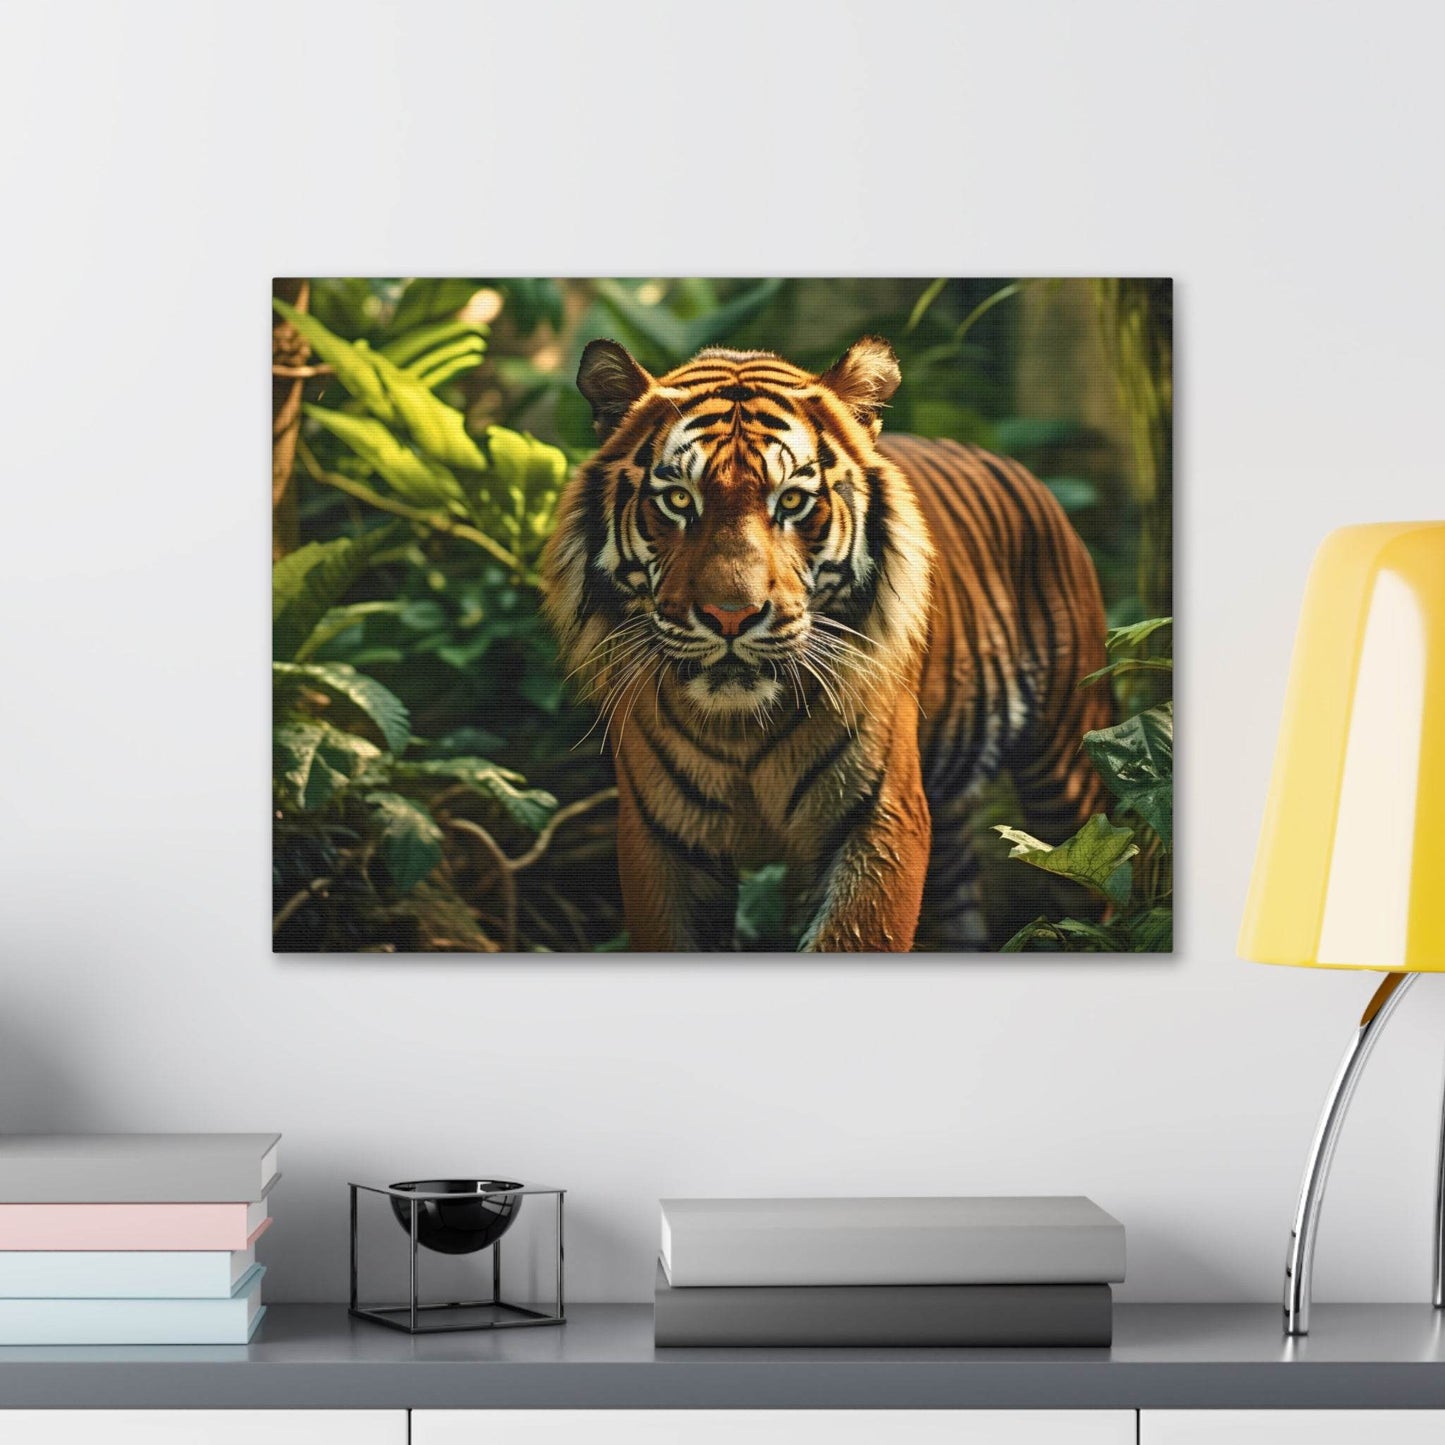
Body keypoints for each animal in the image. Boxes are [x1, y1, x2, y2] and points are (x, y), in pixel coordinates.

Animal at [541, 335, 1112, 952]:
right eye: (678, 500)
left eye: (792, 502)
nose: (730, 616)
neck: (741, 729)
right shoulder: (661, 839)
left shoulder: (879, 819)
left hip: (1069, 771)